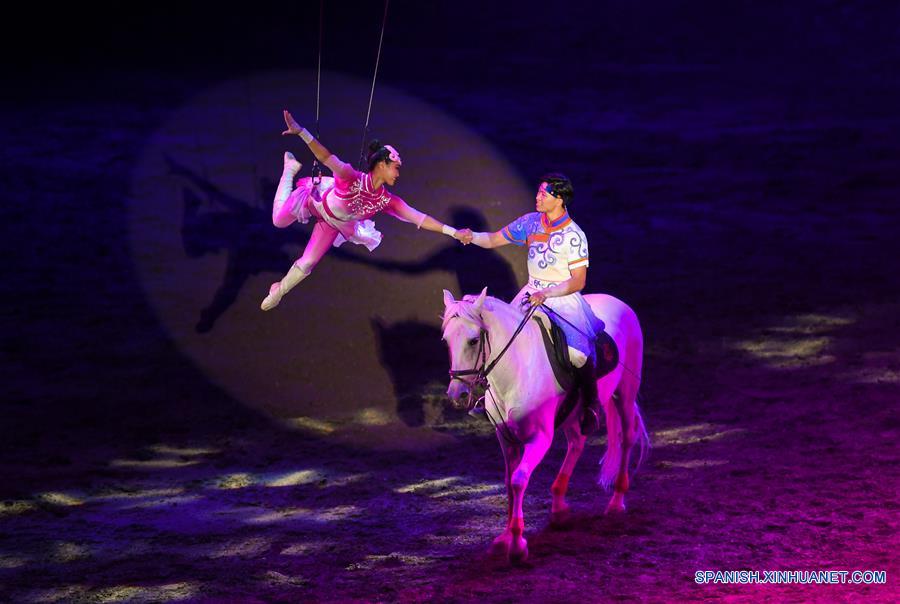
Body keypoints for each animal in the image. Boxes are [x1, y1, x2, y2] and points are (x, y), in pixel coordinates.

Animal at [442, 288, 648, 560]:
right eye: (446, 340)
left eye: (474, 340)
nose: (457, 394)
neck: (517, 371)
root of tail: (617, 301)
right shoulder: (505, 437)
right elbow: (508, 482)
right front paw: (505, 537)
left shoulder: (540, 438)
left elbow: (519, 480)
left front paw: (517, 544)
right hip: (574, 413)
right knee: (576, 443)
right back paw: (559, 508)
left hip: (625, 391)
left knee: (626, 439)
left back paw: (616, 502)